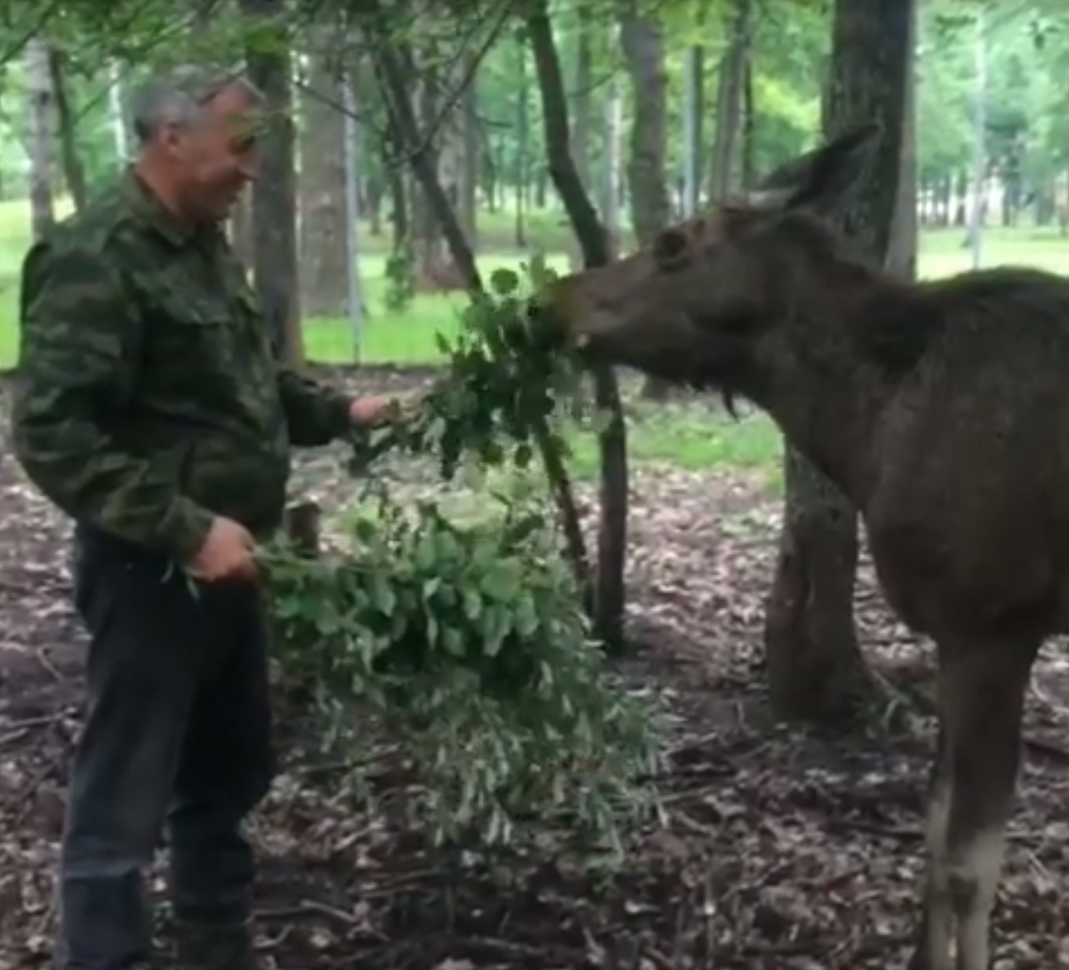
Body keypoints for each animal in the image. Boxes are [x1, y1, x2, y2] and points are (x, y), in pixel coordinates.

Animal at [534, 123, 1069, 970]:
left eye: (672, 242)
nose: (547, 300)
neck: (871, 430)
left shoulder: (996, 622)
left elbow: (968, 865)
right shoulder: (954, 634)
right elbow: (931, 829)